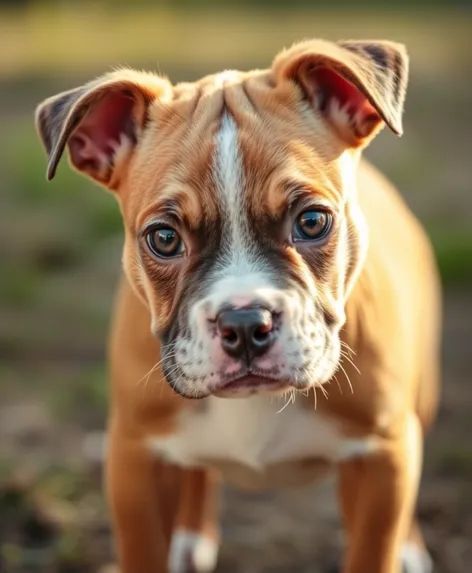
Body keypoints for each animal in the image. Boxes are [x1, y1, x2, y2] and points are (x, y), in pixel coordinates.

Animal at [36, 38, 442, 568]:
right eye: (163, 238)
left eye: (313, 221)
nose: (246, 322)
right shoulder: (134, 460)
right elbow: (145, 552)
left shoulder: (382, 459)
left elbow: (373, 551)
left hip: (420, 403)